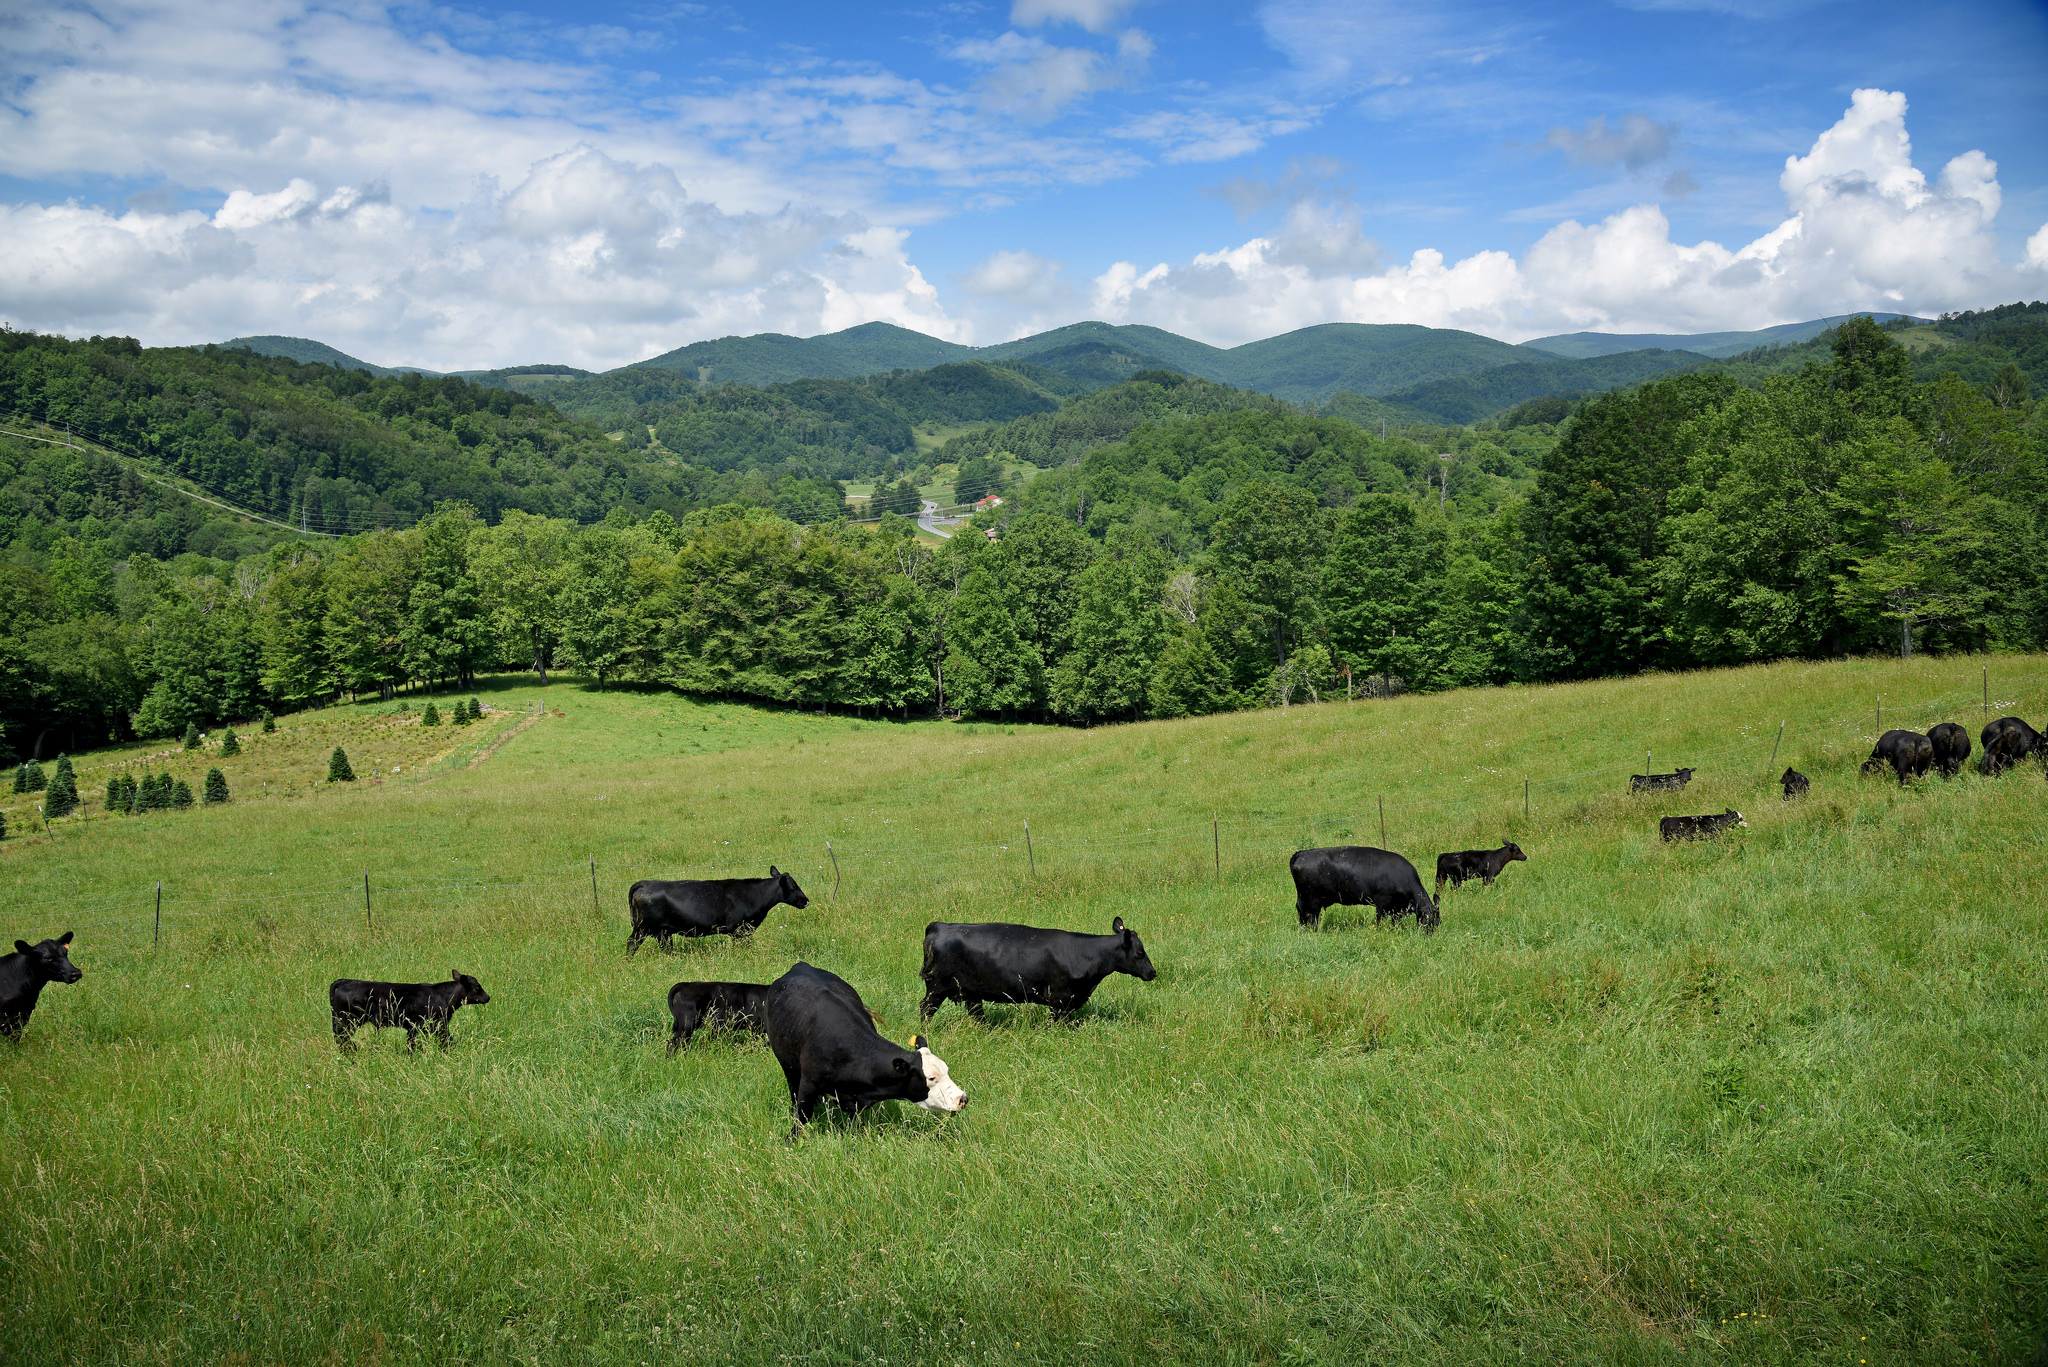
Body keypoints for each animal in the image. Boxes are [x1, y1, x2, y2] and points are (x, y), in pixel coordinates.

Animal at [327, 967, 491, 1057]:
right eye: (477, 987)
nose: (488, 997)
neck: (443, 995)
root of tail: (345, 981)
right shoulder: (434, 1024)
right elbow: (446, 1040)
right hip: (348, 1021)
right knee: (342, 1039)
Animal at [622, 864, 806, 950]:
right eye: (794, 886)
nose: (806, 901)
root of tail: (644, 883)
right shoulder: (740, 930)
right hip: (642, 928)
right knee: (631, 943)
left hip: (662, 932)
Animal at [770, 959, 966, 1131]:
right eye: (931, 1078)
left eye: (947, 1070)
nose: (962, 1098)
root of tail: (802, 966)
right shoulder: (808, 1084)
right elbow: (801, 1117)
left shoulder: (856, 1104)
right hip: (788, 1065)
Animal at [925, 918, 1163, 1024]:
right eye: (1140, 952)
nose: (1153, 973)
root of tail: (940, 925)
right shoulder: (1059, 999)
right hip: (936, 988)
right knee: (926, 1009)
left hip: (971, 993)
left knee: (976, 1014)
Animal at [1277, 848, 1441, 934]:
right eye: (1426, 920)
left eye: (1438, 921)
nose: (1430, 935)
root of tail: (1301, 853)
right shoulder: (1382, 904)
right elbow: (1380, 921)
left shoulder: (1396, 908)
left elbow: (1395, 921)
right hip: (1311, 900)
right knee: (1310, 916)